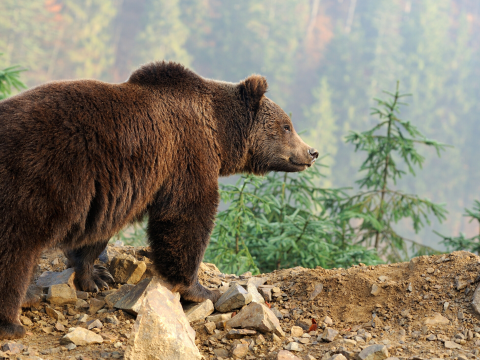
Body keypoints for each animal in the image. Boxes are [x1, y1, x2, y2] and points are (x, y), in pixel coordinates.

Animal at [0, 60, 316, 338]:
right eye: (286, 125)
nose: (312, 152)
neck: (219, 133)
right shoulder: (186, 154)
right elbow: (186, 216)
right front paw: (200, 289)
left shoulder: (114, 189)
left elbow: (98, 232)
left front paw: (96, 277)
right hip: (38, 180)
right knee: (16, 251)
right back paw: (13, 321)